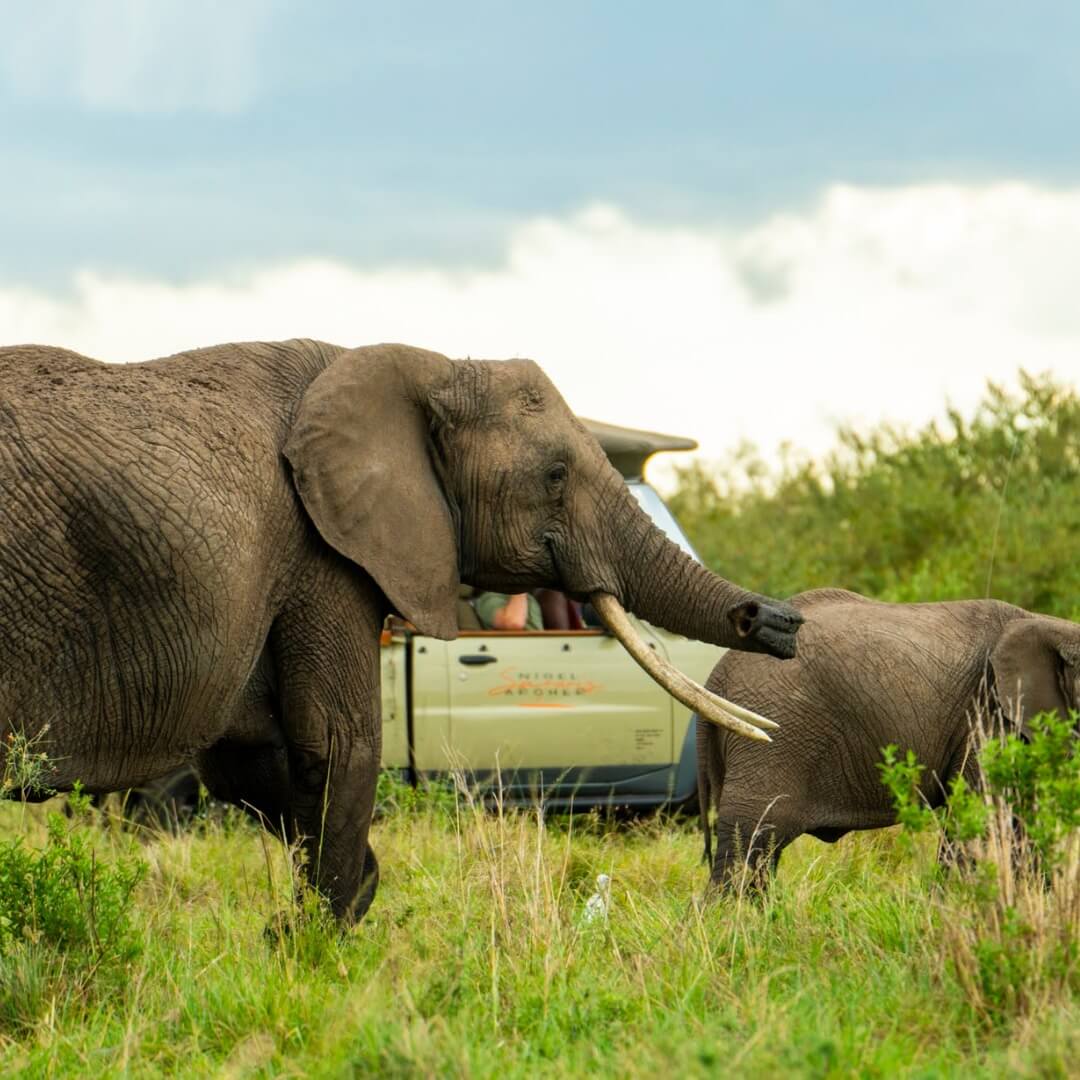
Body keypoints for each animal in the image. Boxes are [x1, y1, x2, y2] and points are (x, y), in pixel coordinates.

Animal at [0, 338, 803, 924]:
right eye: (554, 476)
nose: (781, 622)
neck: (419, 368)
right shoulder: (320, 548)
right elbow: (335, 745)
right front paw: (311, 946)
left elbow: (258, 763)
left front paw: (331, 905)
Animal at [697, 588, 1080, 888]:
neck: (1049, 624)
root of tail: (715, 677)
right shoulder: (985, 715)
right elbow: (984, 815)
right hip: (774, 736)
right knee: (751, 840)